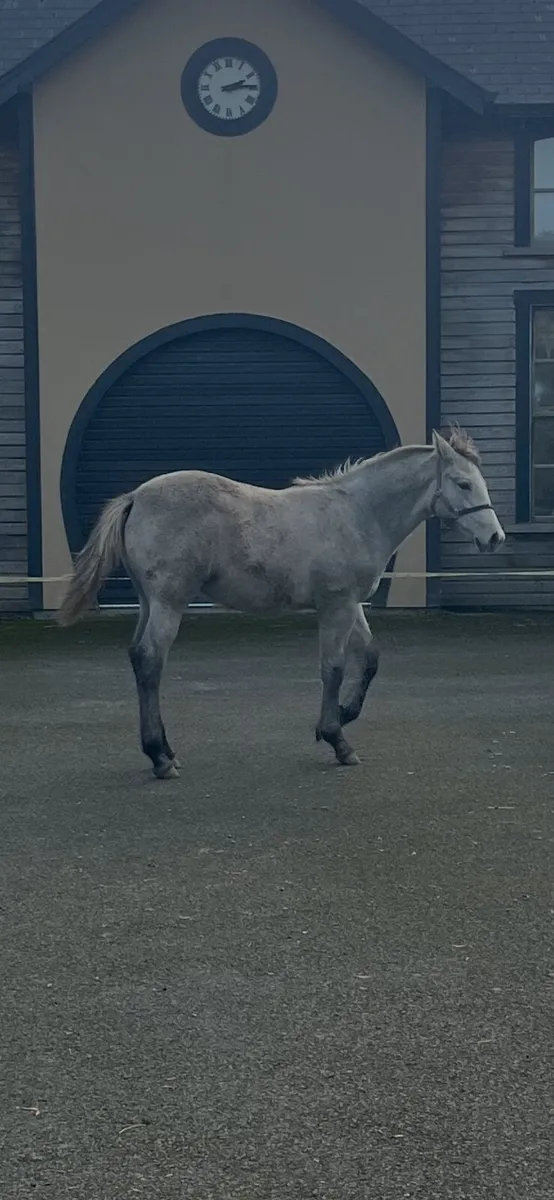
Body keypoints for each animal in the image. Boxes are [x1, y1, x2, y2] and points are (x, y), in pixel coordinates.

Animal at [58, 428, 505, 778]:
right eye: (463, 483)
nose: (495, 538)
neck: (357, 514)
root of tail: (136, 495)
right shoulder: (336, 606)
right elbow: (333, 668)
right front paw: (337, 739)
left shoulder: (351, 605)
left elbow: (370, 659)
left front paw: (342, 716)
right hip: (169, 603)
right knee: (151, 661)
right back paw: (159, 758)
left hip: (149, 601)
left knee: (138, 657)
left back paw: (165, 751)